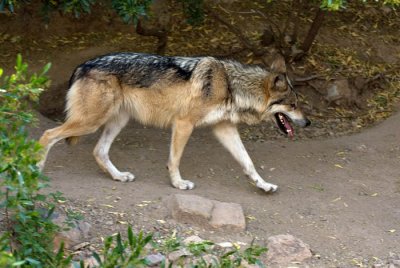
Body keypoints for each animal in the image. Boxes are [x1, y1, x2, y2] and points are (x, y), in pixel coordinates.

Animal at [37, 52, 310, 192]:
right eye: (293, 105)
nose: (307, 123)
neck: (231, 86)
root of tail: (81, 65)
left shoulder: (223, 128)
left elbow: (248, 162)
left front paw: (263, 185)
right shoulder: (183, 124)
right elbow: (174, 160)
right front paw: (178, 183)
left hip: (117, 122)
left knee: (98, 151)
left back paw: (119, 177)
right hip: (91, 122)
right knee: (47, 135)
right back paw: (35, 170)